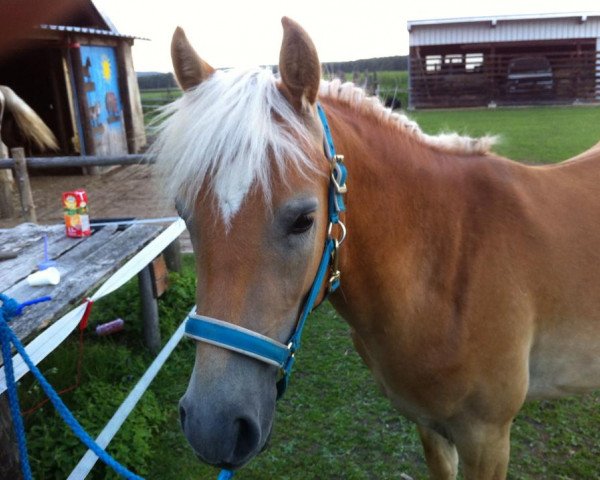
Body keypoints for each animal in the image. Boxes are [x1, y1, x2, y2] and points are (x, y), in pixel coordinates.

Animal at [151, 17, 600, 480]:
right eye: (185, 215)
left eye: (303, 219)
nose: (212, 427)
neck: (448, 264)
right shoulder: (430, 427)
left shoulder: (487, 438)